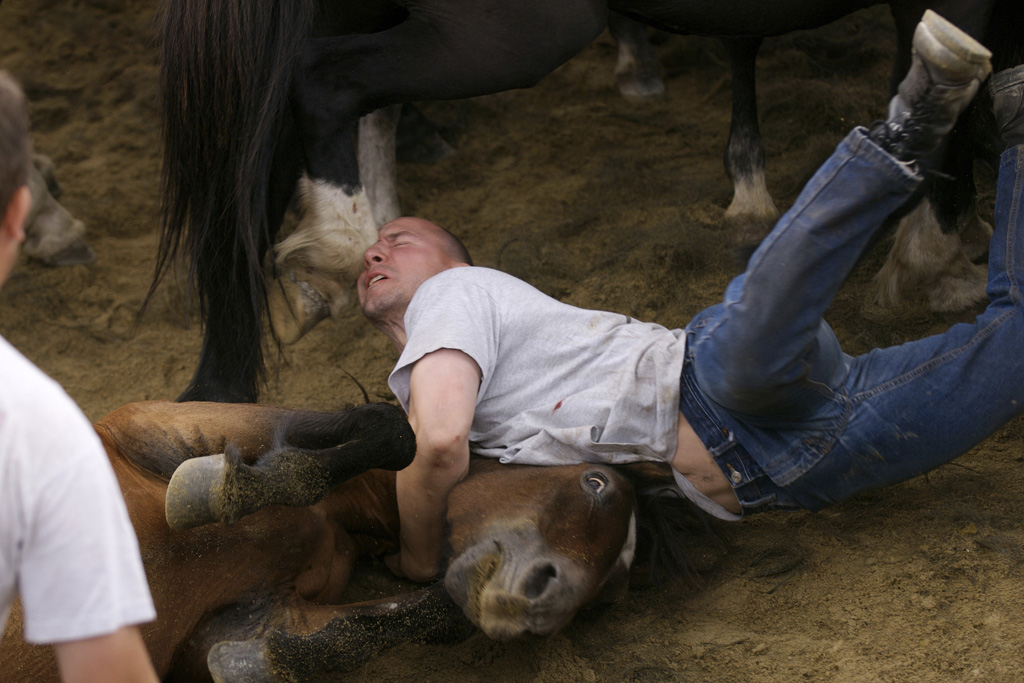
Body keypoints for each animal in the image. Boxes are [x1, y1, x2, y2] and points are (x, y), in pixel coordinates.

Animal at [0, 403, 708, 679]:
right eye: (596, 484)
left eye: (611, 594)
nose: (542, 603)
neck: (330, 521)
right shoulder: (154, 425)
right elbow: (386, 431)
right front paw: (218, 489)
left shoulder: (237, 621)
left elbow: (382, 625)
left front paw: (260, 662)